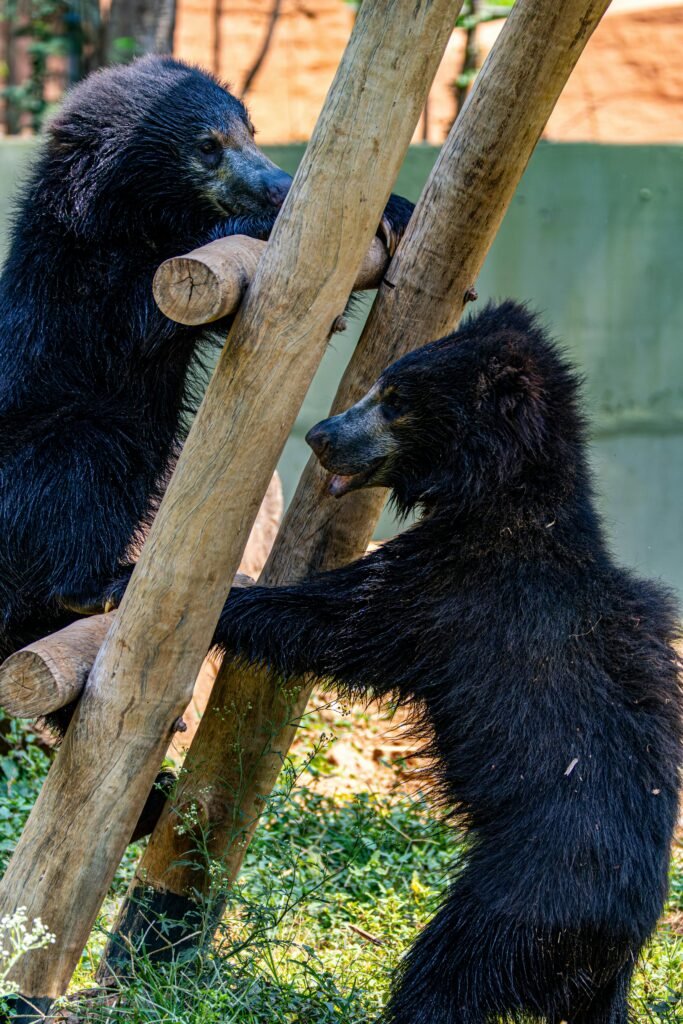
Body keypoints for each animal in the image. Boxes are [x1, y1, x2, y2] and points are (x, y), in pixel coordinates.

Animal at [0, 55, 413, 743]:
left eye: (250, 130)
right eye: (207, 147)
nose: (279, 186)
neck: (130, 219)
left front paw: (395, 210)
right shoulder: (76, 292)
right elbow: (137, 319)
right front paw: (265, 225)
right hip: (32, 465)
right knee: (84, 460)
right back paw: (100, 582)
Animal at [215, 302, 682, 1024]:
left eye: (395, 400)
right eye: (380, 384)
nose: (319, 435)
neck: (501, 499)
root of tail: (620, 941)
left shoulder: (450, 597)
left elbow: (340, 623)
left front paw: (189, 592)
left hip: (515, 906)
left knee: (441, 979)